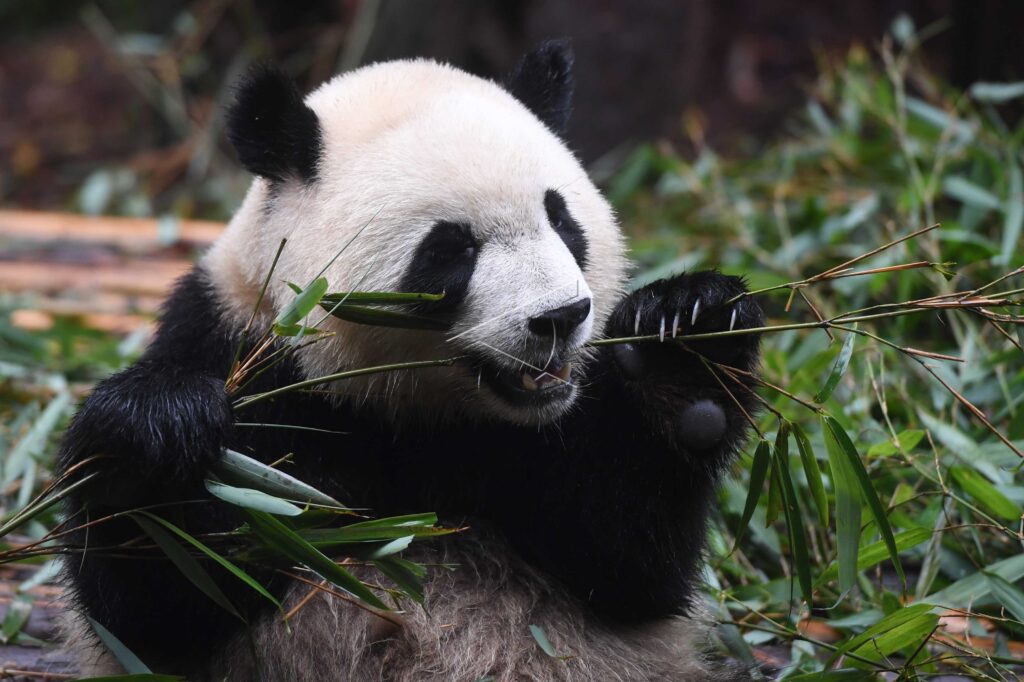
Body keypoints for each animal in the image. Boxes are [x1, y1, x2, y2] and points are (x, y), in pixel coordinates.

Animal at [58, 41, 763, 681]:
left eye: (562, 220)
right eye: (451, 249)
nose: (560, 318)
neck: (414, 412)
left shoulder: (549, 439)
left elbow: (625, 562)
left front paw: (687, 341)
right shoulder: (238, 349)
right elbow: (158, 608)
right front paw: (156, 429)